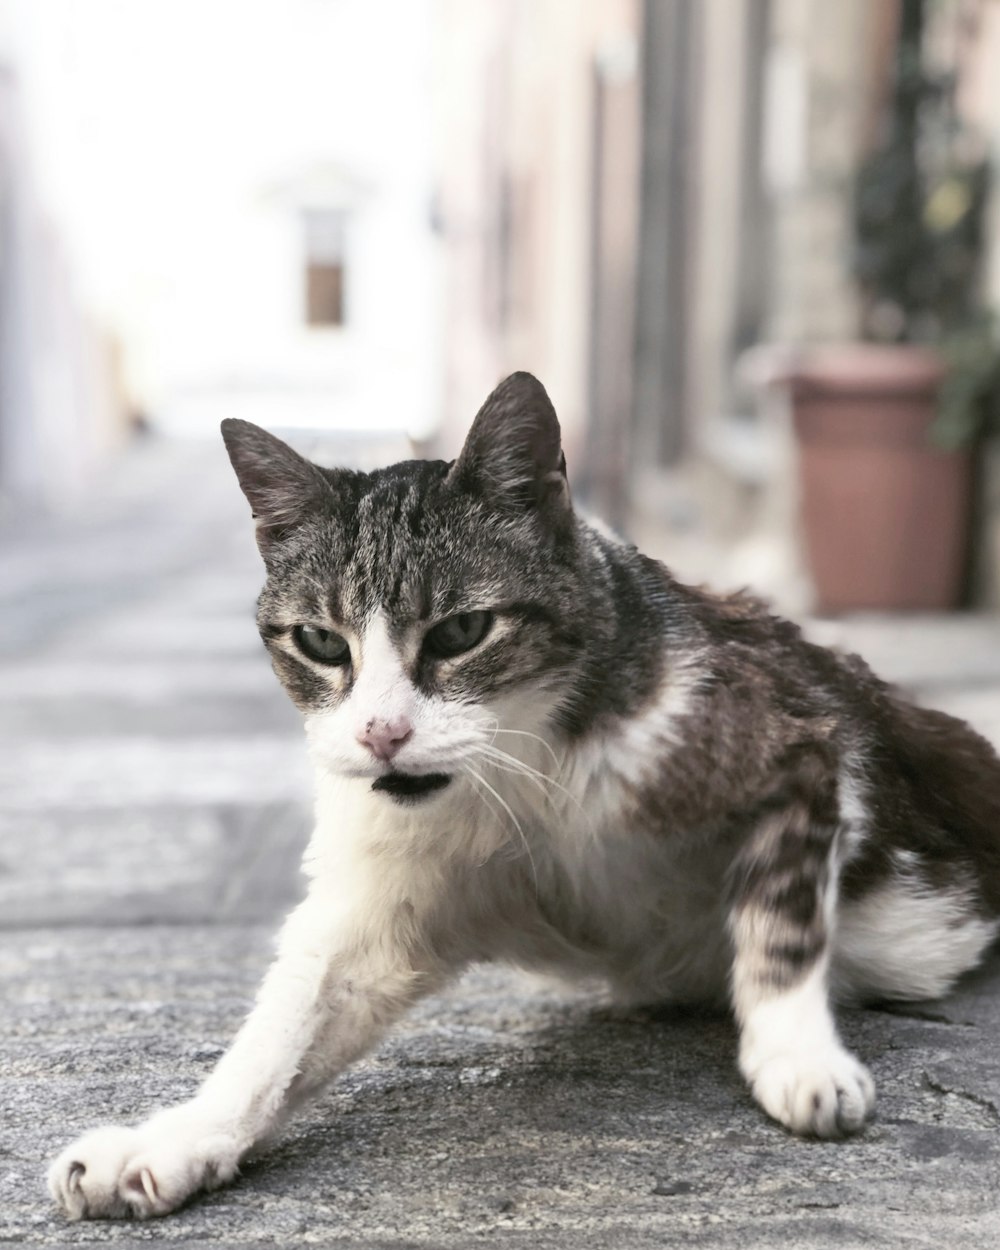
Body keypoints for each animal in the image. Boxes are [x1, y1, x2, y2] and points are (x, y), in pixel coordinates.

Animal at [48, 370, 1000, 1220]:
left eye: (462, 631)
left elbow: (784, 925)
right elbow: (290, 1016)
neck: (526, 771)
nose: (381, 733)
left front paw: (798, 1060)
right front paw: (175, 1138)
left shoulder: (796, 741)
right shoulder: (390, 894)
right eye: (320, 642)